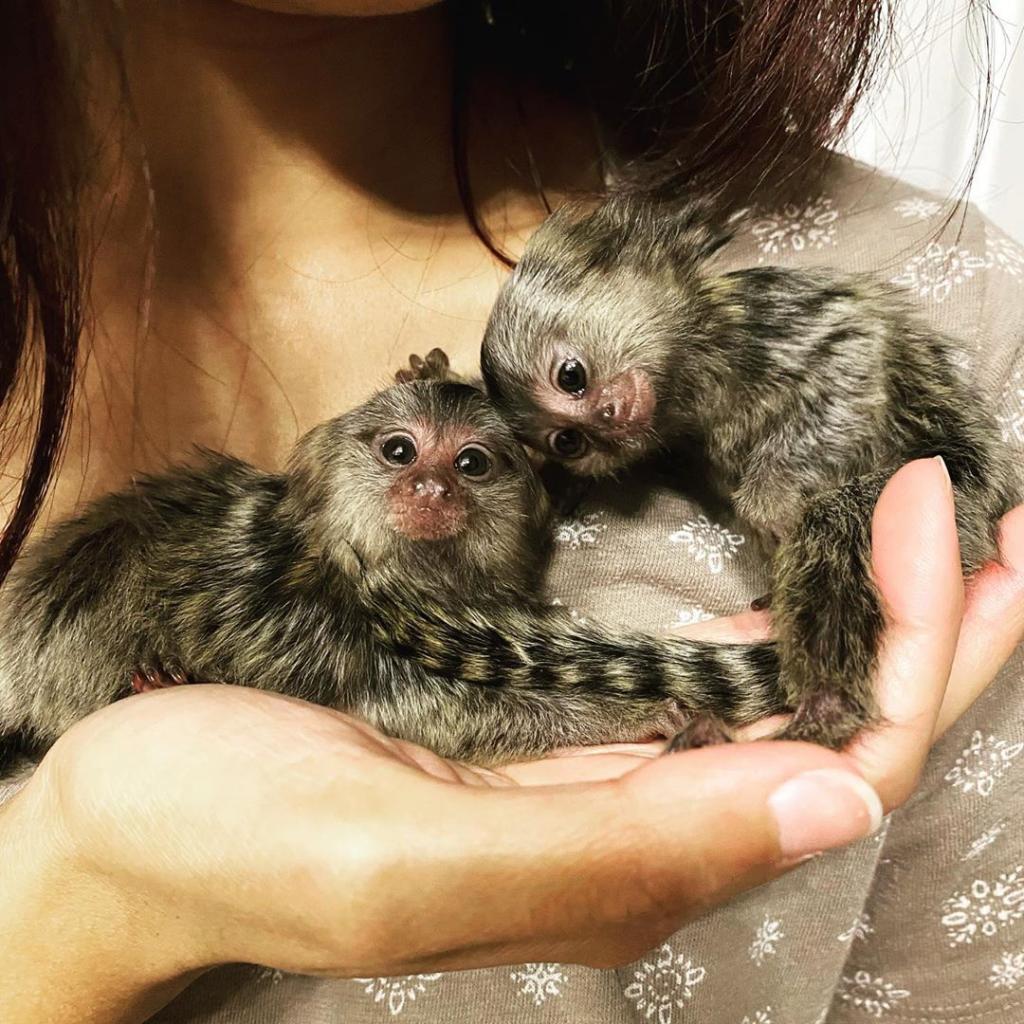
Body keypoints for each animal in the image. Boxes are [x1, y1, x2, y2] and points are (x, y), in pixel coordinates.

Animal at [0, 378, 786, 771]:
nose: (432, 490)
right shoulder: (322, 626)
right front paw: (628, 713)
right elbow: (428, 713)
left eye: (472, 463)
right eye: (400, 450)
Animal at [474, 193, 1021, 751]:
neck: (686, 370)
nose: (606, 420)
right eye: (569, 441)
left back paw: (826, 710)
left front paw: (770, 506)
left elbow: (851, 362)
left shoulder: (772, 320)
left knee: (833, 522)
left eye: (571, 376)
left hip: (947, 500)